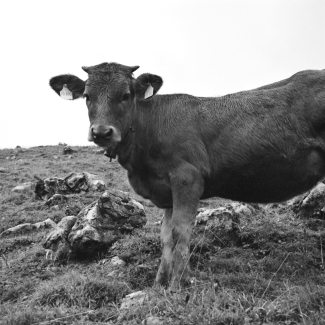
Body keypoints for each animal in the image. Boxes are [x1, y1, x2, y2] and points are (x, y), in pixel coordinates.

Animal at [49, 62, 324, 286]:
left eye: (126, 95)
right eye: (87, 96)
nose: (101, 132)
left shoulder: (187, 178)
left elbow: (180, 231)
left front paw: (178, 284)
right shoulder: (165, 190)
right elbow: (165, 236)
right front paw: (159, 283)